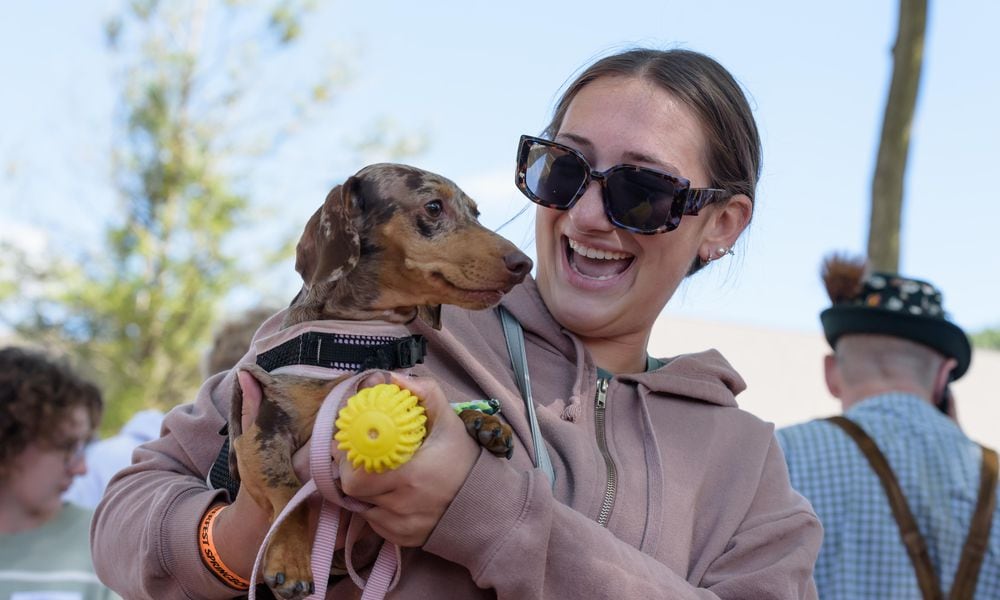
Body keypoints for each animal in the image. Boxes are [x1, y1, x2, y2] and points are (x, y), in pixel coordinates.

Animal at [230, 162, 536, 596]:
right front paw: (290, 558)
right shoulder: (260, 433)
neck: (361, 345)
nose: (524, 264)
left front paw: (482, 420)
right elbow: (289, 491)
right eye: (433, 206)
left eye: (476, 213)